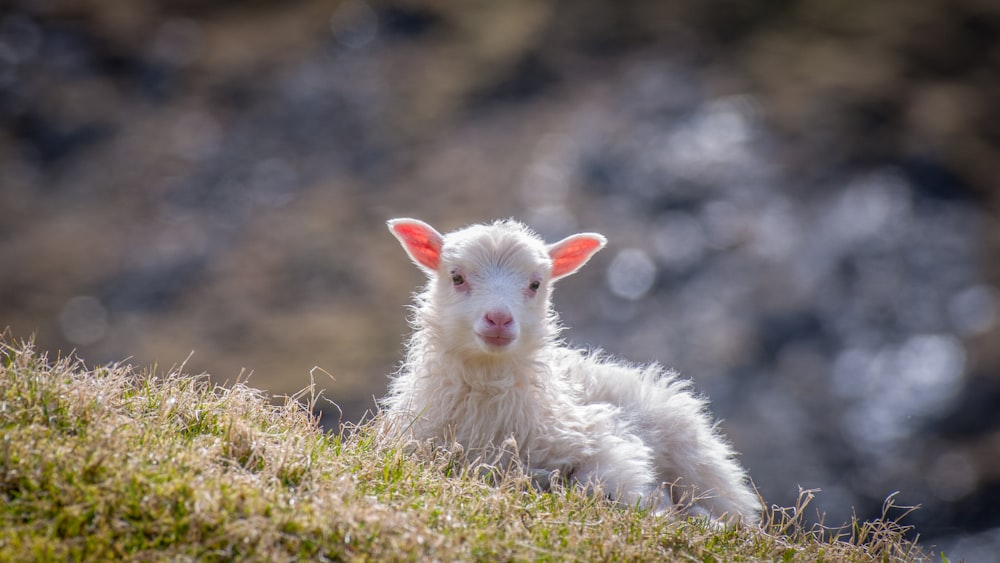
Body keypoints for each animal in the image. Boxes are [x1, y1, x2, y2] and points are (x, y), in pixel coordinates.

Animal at [380, 217, 756, 524]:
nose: (499, 319)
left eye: (535, 284)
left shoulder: (606, 442)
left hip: (701, 465)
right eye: (456, 276)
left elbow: (599, 482)